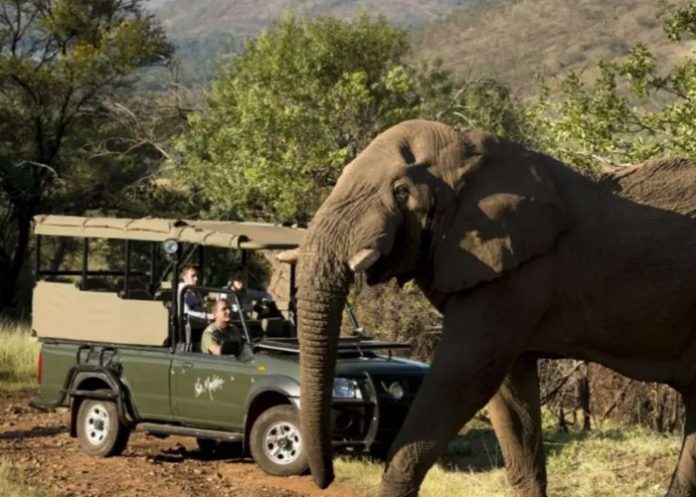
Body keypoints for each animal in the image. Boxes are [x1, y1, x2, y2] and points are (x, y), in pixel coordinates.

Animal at [296, 119, 696, 497]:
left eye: (402, 191)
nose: (324, 478)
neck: (472, 154)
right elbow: (510, 395)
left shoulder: (515, 274)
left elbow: (465, 375)